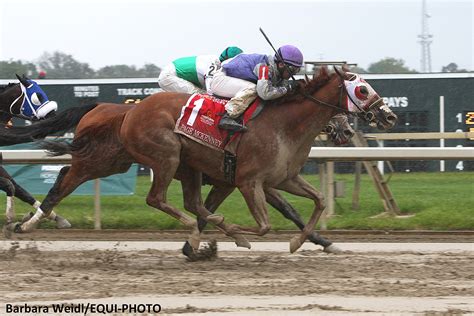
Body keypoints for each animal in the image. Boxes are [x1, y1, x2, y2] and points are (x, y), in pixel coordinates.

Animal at [11, 65, 396, 253]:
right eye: (362, 89)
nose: (389, 115)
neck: (283, 123)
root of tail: (126, 111)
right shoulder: (247, 181)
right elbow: (263, 223)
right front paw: (222, 236)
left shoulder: (278, 178)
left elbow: (314, 202)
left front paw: (308, 241)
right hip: (162, 157)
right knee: (151, 197)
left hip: (122, 160)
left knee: (67, 175)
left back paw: (30, 223)